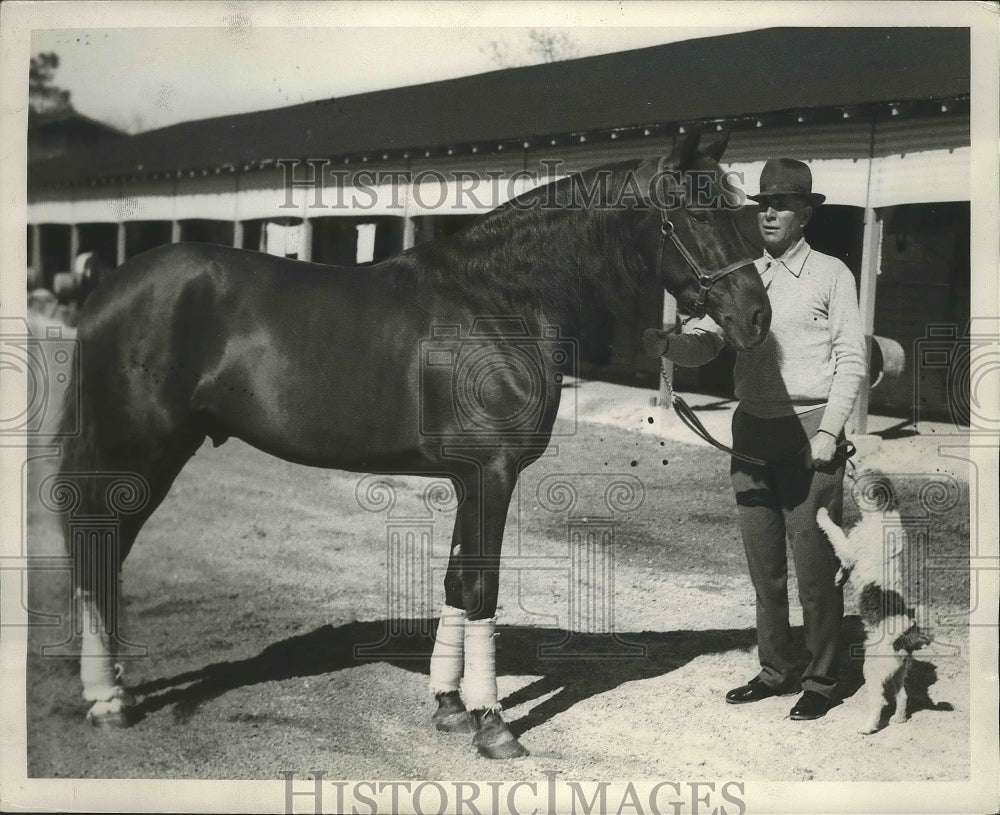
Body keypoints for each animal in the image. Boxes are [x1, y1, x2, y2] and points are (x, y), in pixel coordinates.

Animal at [56, 127, 772, 760]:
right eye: (697, 210)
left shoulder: (468, 476)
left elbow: (455, 582)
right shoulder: (493, 470)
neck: (501, 299)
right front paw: (493, 724)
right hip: (138, 451)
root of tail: (104, 290)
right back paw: (107, 700)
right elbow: (481, 586)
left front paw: (450, 707)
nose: (756, 317)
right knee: (99, 548)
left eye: (743, 209)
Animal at [816, 478, 932, 740]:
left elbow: (835, 532)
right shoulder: (851, 555)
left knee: (878, 701)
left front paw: (821, 513)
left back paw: (868, 727)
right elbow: (845, 566)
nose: (850, 474)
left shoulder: (849, 546)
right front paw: (839, 578)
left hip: (873, 669)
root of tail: (905, 635)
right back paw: (899, 718)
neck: (882, 515)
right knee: (902, 695)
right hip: (898, 671)